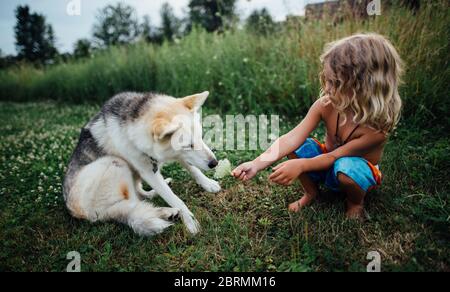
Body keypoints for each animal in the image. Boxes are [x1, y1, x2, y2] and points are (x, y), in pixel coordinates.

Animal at [62, 92, 221, 236]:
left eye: (201, 137)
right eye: (188, 145)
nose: (215, 163)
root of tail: (83, 214)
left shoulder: (175, 155)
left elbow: (193, 169)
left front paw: (208, 183)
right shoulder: (149, 172)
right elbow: (176, 200)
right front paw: (189, 220)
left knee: (140, 195)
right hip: (115, 162)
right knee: (133, 205)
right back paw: (166, 211)